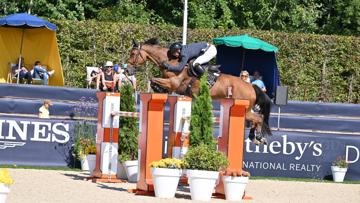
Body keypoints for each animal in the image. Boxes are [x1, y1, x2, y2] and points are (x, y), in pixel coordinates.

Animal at [128, 38, 272, 144]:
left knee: (259, 118)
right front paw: (158, 88)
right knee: (257, 119)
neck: (172, 60)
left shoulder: (173, 83)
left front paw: (157, 87)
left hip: (244, 108)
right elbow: (153, 80)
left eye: (133, 54)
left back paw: (259, 137)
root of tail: (251, 86)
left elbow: (153, 78)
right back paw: (255, 137)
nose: (128, 70)